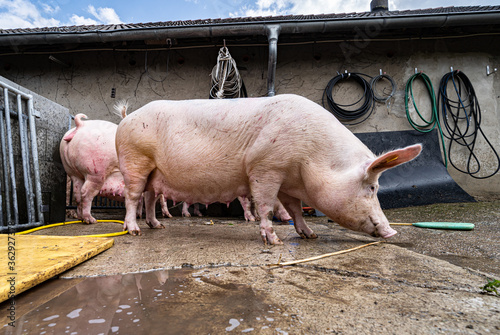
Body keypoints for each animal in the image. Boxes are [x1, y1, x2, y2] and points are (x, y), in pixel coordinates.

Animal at [114, 94, 422, 244]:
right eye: (372, 187)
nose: (392, 232)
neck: (311, 156)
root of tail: (127, 118)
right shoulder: (265, 167)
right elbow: (265, 205)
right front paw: (274, 242)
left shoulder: (288, 182)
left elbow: (295, 210)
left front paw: (311, 235)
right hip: (135, 160)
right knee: (132, 197)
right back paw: (135, 232)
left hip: (154, 172)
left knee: (149, 198)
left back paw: (158, 226)